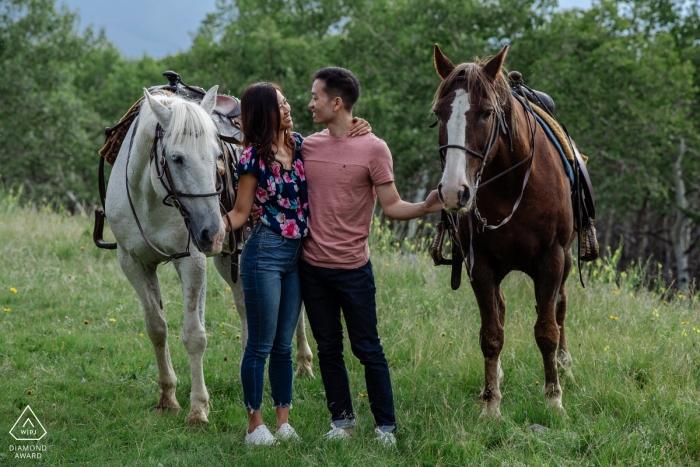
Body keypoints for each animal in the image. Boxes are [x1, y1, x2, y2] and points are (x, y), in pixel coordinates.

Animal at [105, 86, 314, 426]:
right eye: (176, 158)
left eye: (217, 155)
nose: (212, 231)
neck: (151, 198)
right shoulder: (133, 263)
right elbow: (156, 327)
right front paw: (168, 397)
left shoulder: (192, 262)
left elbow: (194, 335)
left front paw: (198, 409)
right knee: (246, 307)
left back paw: (305, 364)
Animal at [434, 44, 576, 416]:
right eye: (438, 114)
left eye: (486, 113)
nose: (454, 191)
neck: (511, 185)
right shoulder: (480, 265)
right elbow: (491, 334)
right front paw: (491, 404)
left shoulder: (552, 260)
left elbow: (547, 330)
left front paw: (553, 399)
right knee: (501, 309)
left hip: (566, 262)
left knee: (560, 307)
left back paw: (565, 364)